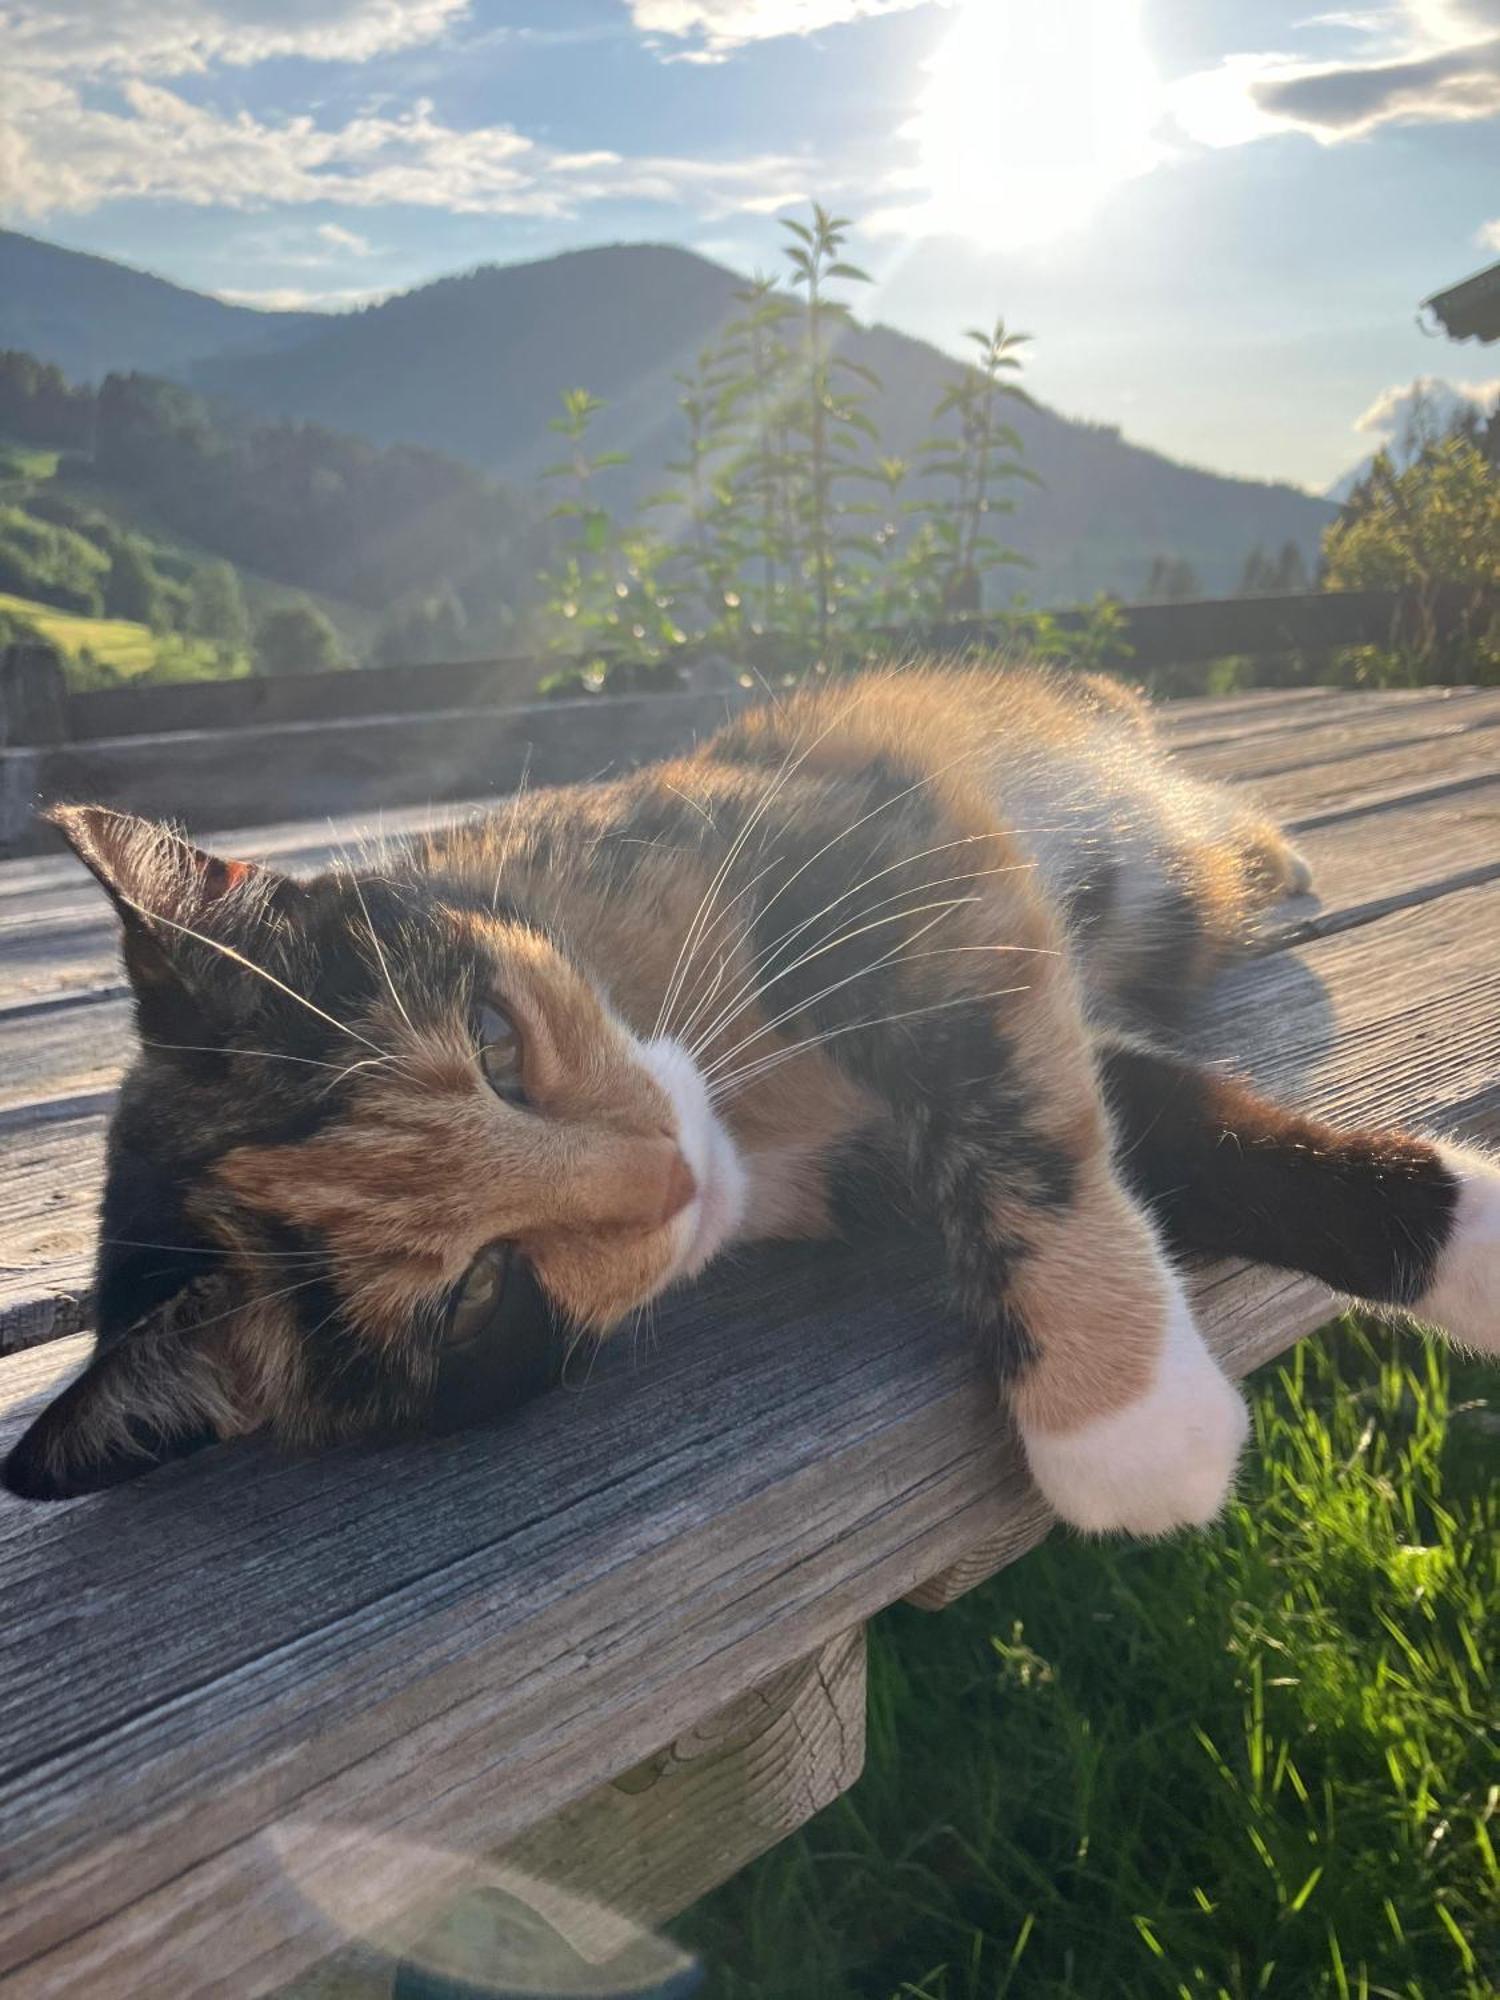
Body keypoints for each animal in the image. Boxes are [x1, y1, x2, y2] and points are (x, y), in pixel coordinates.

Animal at [5, 664, 1496, 1520]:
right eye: (474, 1293)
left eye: (492, 1036)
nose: (669, 1173)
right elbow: (1152, 1129)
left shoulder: (891, 850)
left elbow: (1028, 1121)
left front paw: (1115, 1416)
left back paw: (1283, 857)